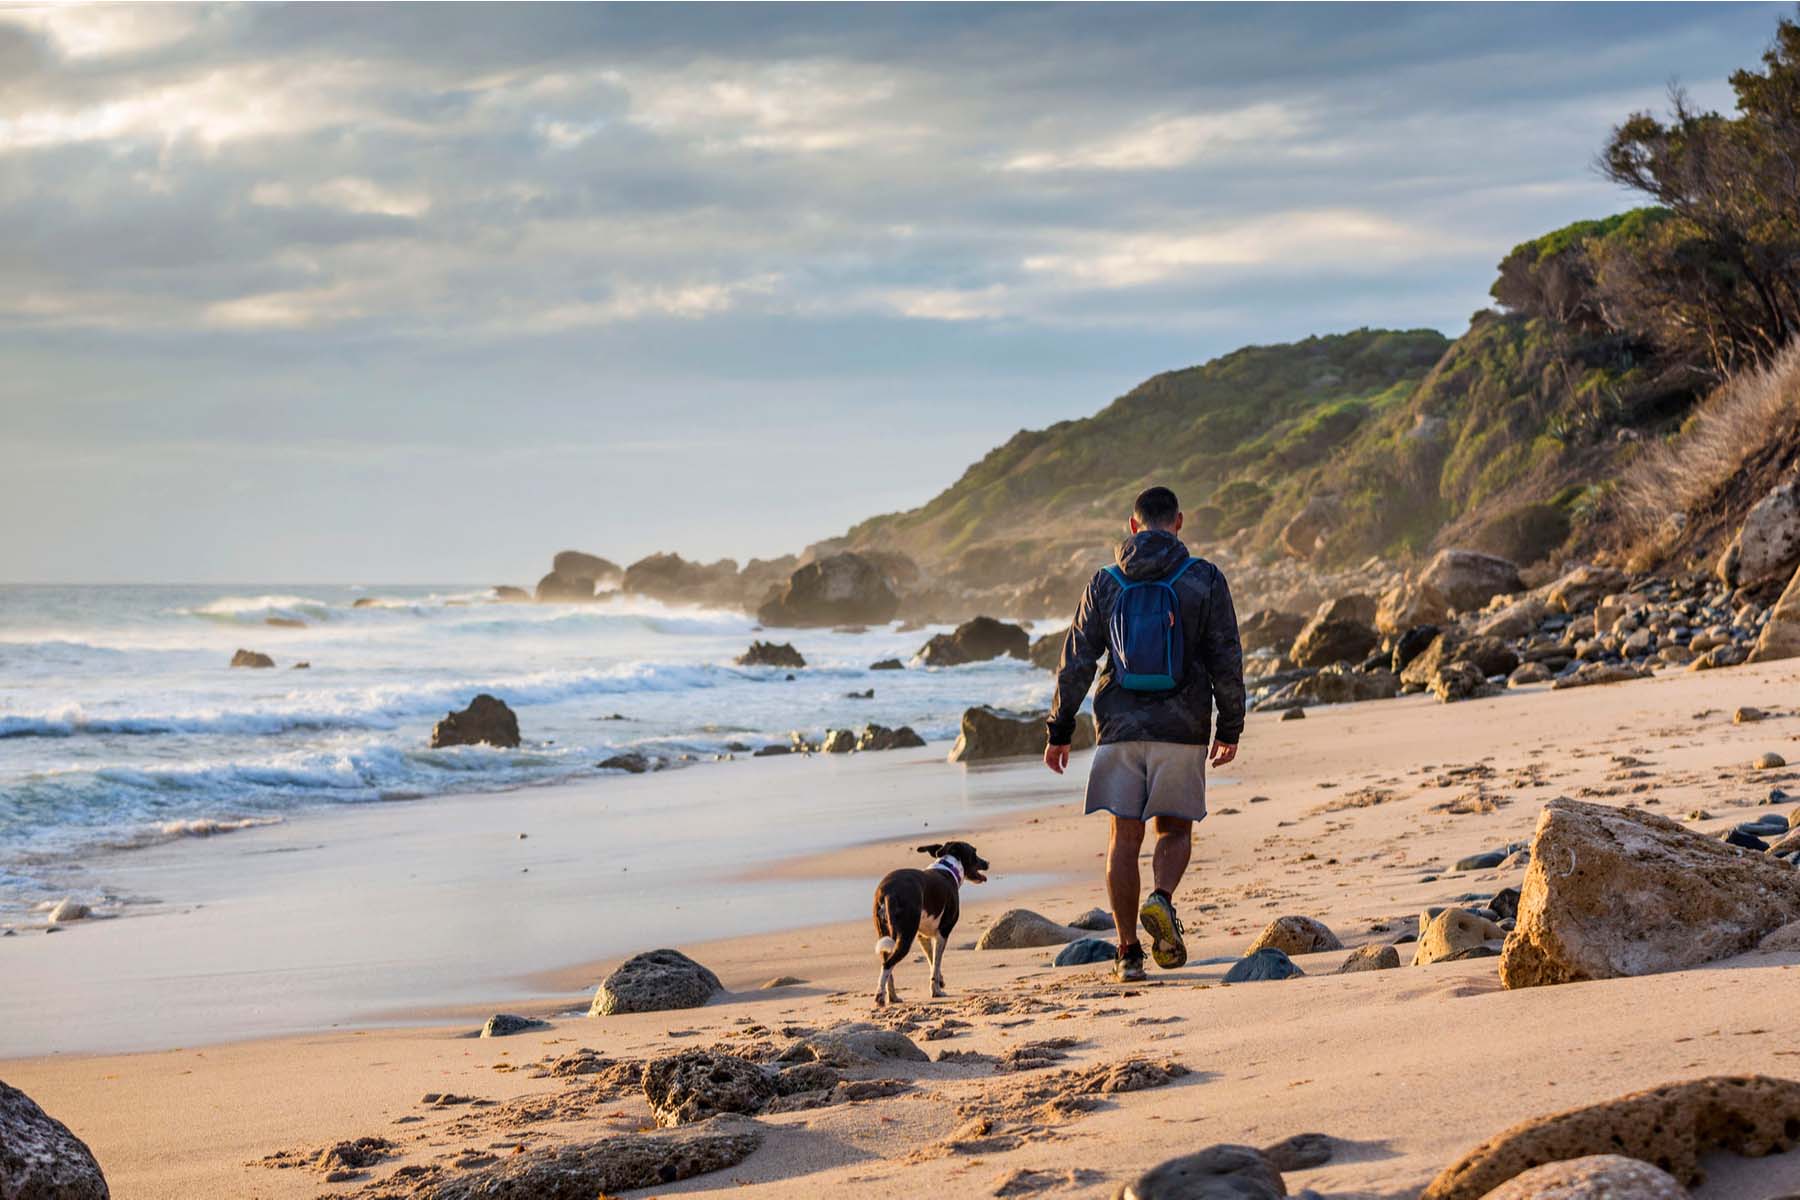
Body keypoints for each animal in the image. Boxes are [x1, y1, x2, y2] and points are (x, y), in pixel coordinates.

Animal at [867, 841, 993, 1007]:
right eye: (974, 852)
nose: (987, 863)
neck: (948, 867)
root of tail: (889, 892)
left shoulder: (923, 936)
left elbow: (931, 960)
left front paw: (940, 981)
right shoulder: (943, 933)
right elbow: (936, 963)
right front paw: (936, 991)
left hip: (885, 934)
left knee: (887, 964)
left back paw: (893, 997)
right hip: (905, 936)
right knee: (888, 965)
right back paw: (880, 997)